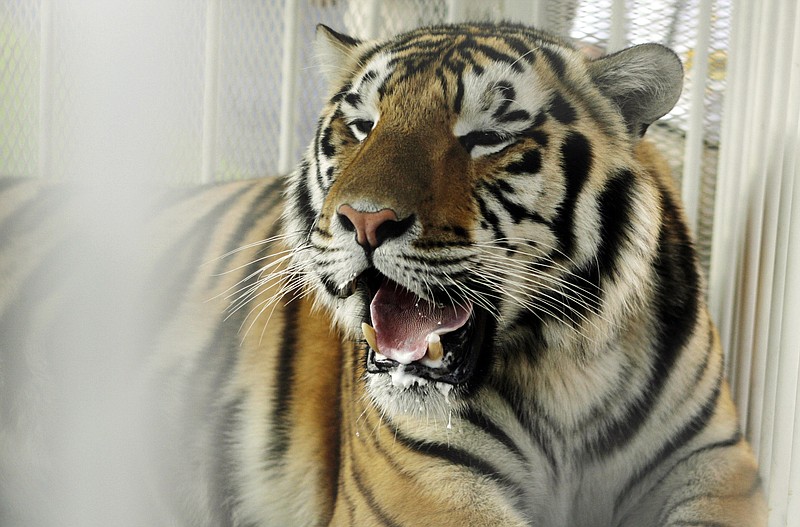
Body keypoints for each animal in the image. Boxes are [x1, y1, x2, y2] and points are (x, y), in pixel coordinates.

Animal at [0, 21, 764, 527]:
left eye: (487, 137)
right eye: (363, 125)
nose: (364, 222)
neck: (565, 377)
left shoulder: (717, 469)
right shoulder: (428, 489)